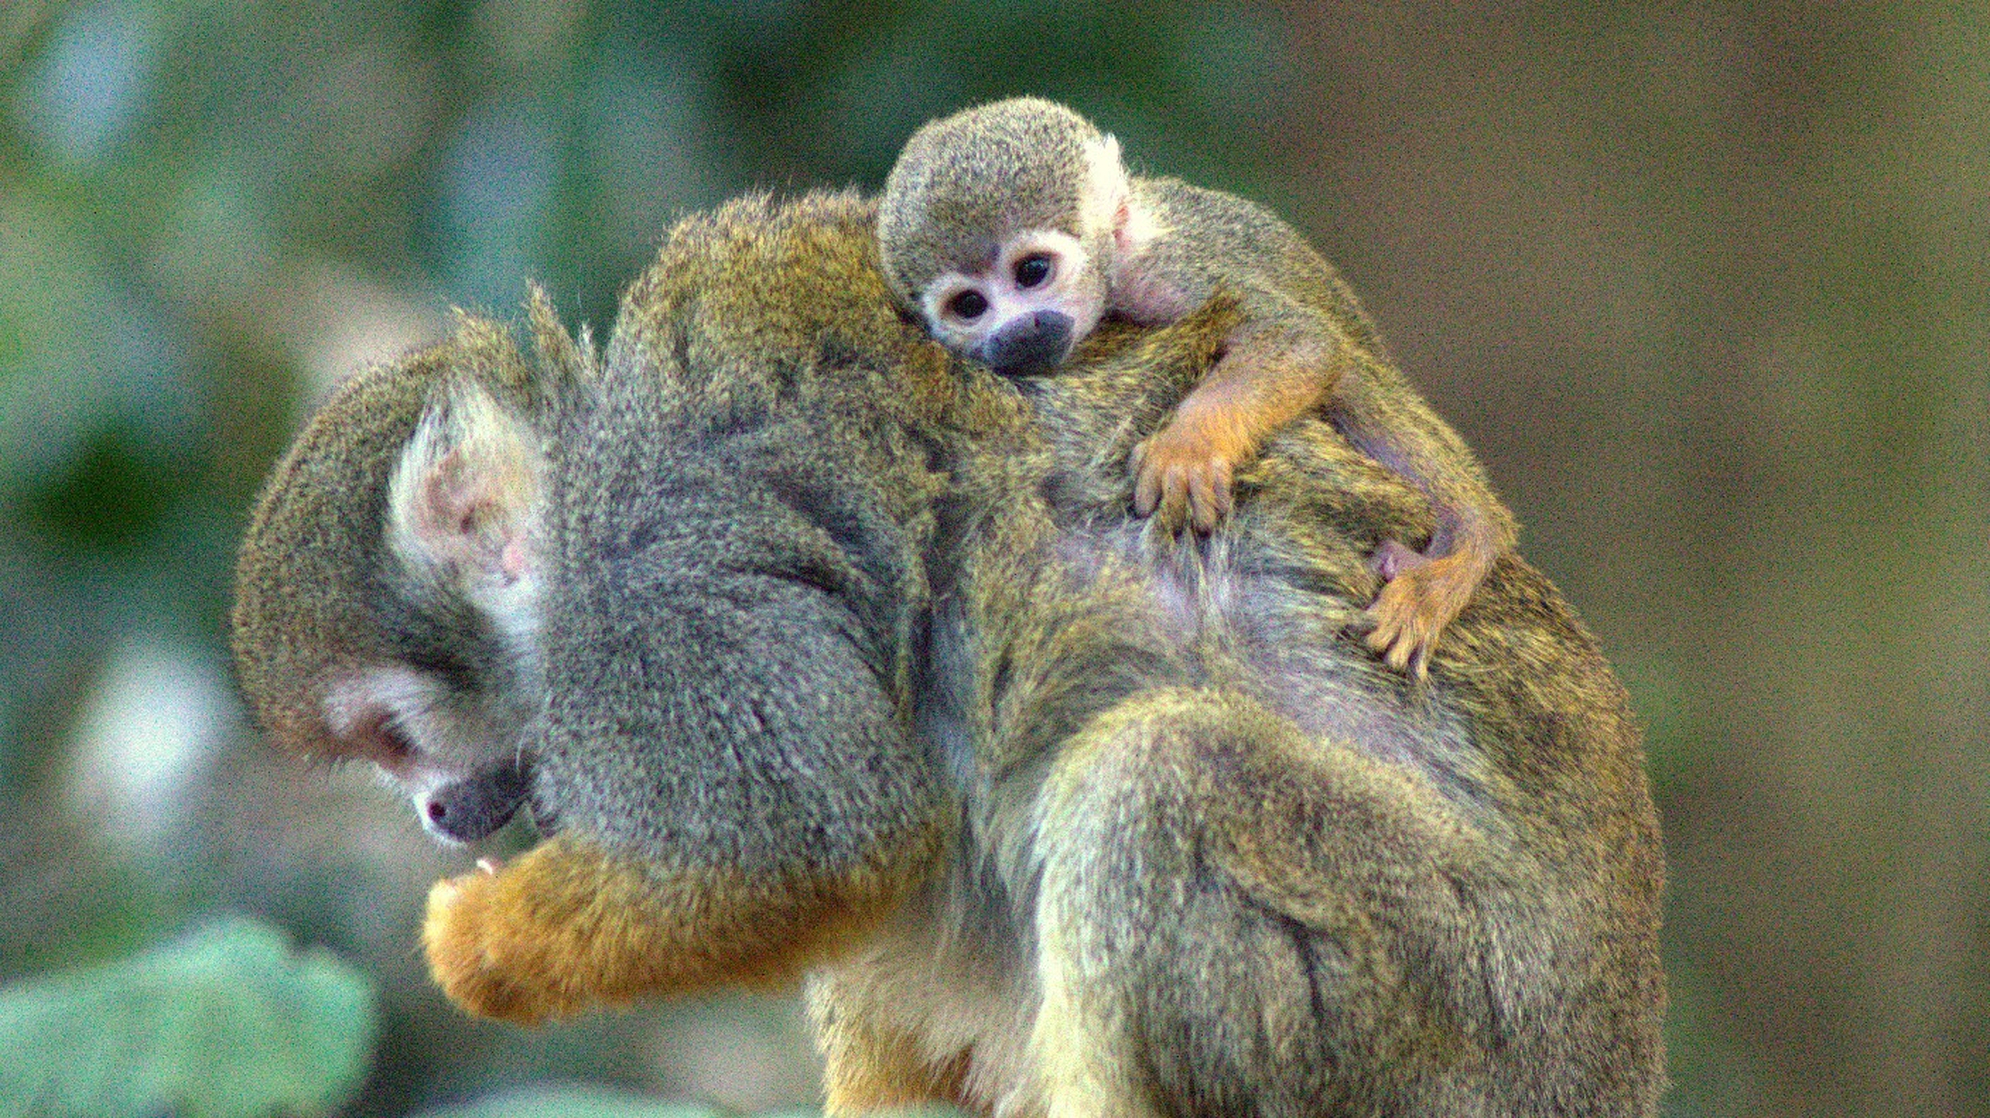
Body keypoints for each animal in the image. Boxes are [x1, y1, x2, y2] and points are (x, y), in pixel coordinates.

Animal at [236, 190, 1664, 1114]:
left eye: (390, 736)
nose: (433, 810)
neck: (587, 483)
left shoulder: (667, 584)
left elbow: (812, 840)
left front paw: (471, 939)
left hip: (1459, 1015)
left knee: (1155, 781)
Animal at [877, 97, 1519, 678]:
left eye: (1032, 272)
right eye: (969, 306)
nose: (1015, 332)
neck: (1120, 256)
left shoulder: (1165, 272)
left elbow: (1301, 338)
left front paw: (1189, 445)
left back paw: (1471, 543)